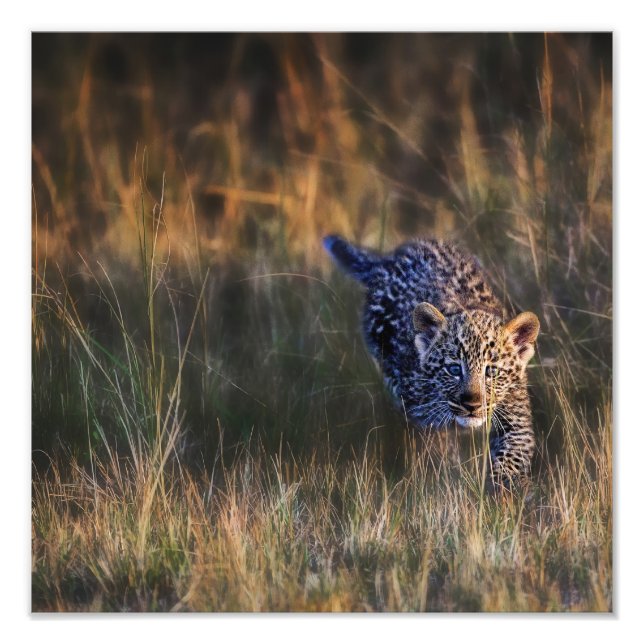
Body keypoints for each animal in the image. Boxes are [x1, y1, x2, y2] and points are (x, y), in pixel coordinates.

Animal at [323, 234, 540, 488]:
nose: (472, 405)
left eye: (492, 372)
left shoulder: (516, 420)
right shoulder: (422, 417)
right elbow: (438, 450)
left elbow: (511, 457)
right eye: (454, 369)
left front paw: (504, 490)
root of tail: (389, 260)